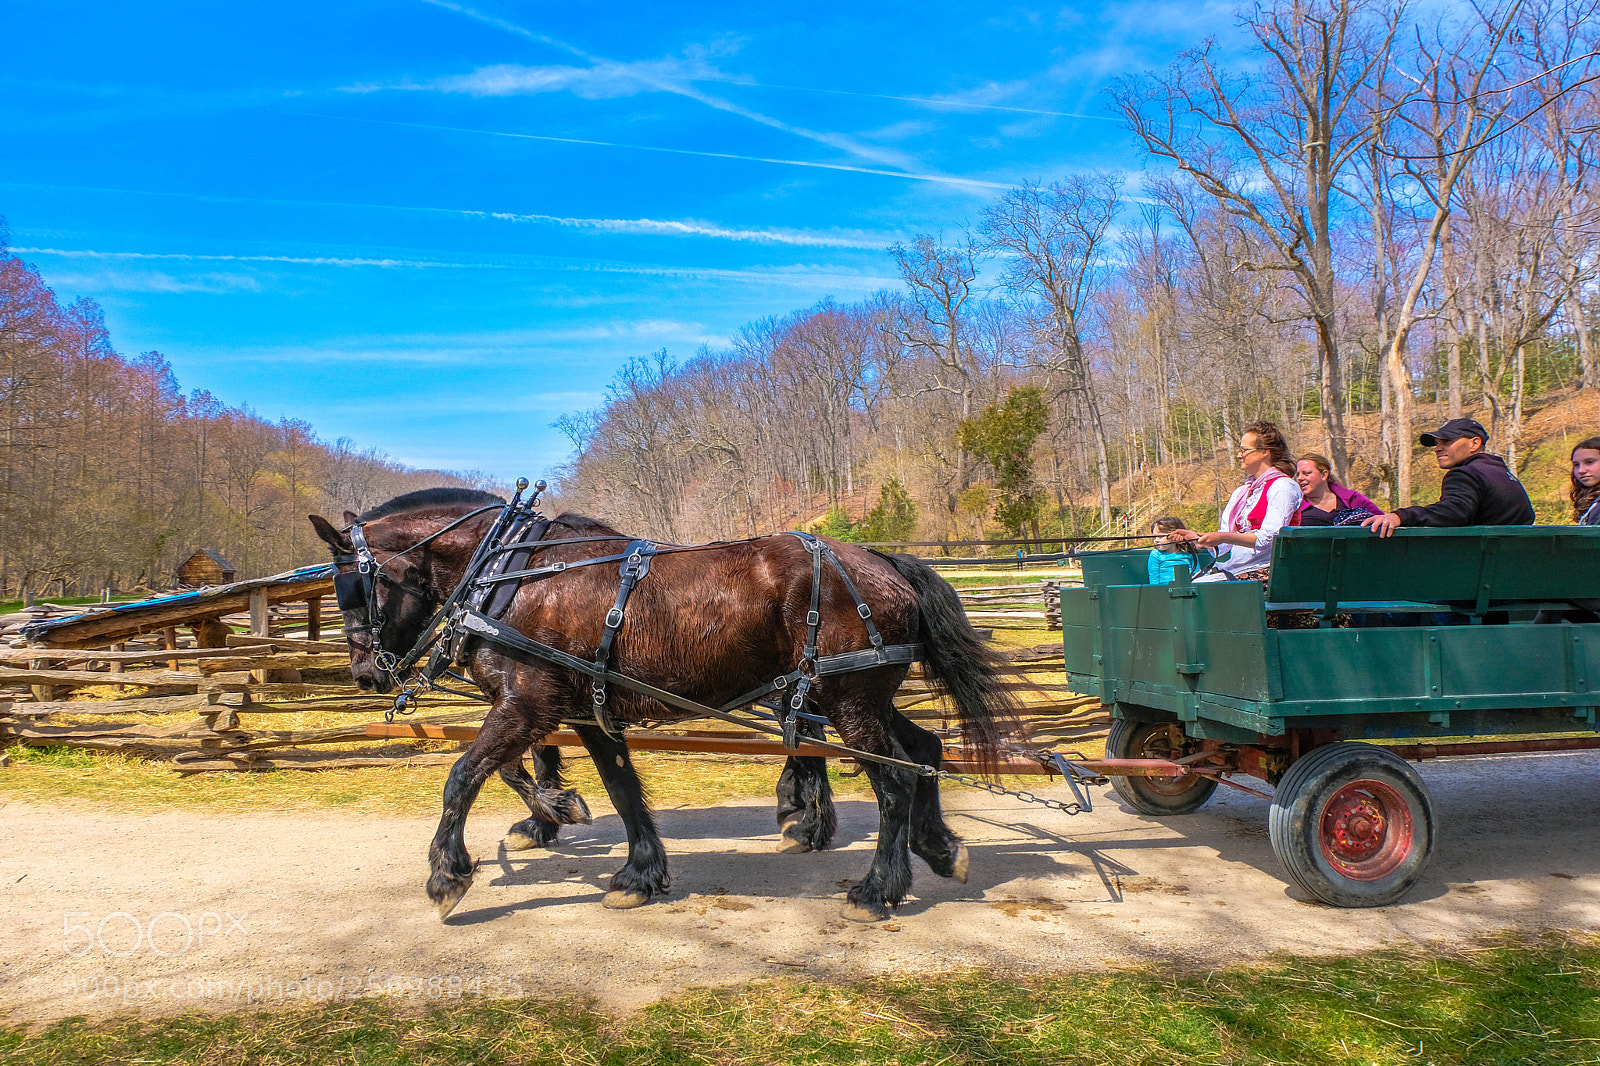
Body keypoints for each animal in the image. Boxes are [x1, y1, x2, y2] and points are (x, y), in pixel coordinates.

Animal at [310, 487, 1018, 922]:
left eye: (353, 587)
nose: (364, 673)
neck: (509, 574)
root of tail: (882, 561)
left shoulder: (528, 706)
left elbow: (464, 775)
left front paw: (447, 875)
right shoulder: (582, 710)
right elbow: (621, 790)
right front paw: (636, 872)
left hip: (848, 702)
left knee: (895, 780)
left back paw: (877, 889)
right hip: (856, 697)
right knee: (923, 752)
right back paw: (940, 849)